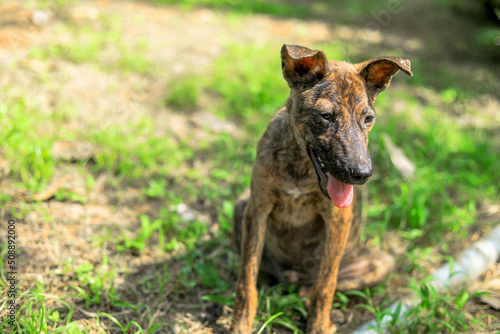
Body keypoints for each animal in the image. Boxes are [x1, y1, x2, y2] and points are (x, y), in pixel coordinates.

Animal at [230, 45, 410, 334]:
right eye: (326, 116)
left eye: (369, 119)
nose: (362, 174)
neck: (300, 167)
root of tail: (296, 275)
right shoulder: (257, 210)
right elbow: (247, 277)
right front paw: (241, 324)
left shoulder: (337, 219)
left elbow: (325, 285)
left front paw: (318, 325)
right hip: (241, 205)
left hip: (381, 263)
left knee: (316, 286)